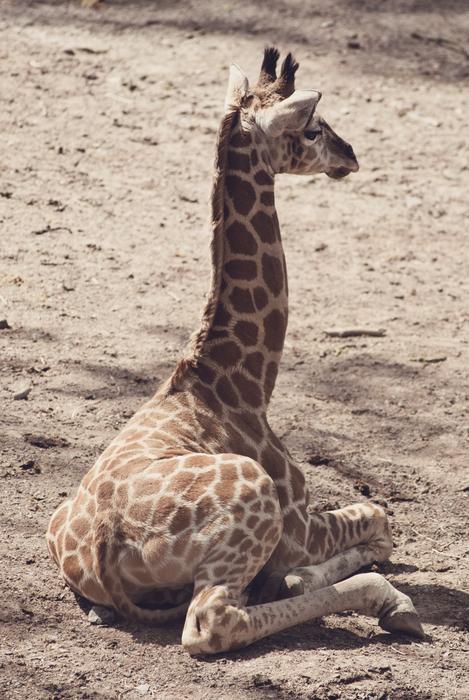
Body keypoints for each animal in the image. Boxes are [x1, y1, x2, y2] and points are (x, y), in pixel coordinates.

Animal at [47, 48, 424, 655]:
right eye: (312, 128)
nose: (350, 155)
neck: (243, 381)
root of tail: (103, 547)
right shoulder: (299, 523)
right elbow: (379, 517)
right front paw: (313, 578)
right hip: (255, 500)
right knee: (211, 622)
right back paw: (388, 602)